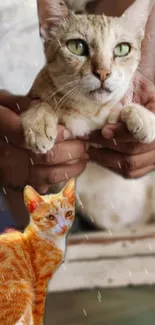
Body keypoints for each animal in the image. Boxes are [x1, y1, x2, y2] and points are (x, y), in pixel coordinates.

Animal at [0, 178, 75, 322]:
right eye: (50, 217)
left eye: (68, 213)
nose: (63, 227)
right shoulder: (39, 283)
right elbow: (37, 312)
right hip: (23, 288)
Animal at [21, 0, 155, 229]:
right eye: (77, 46)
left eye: (122, 49)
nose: (103, 72)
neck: (89, 112)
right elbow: (42, 104)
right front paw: (39, 126)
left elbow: (123, 106)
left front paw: (142, 116)